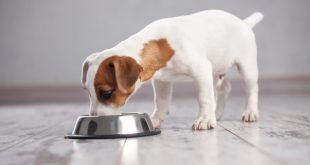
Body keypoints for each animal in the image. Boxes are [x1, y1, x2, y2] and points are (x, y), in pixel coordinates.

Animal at [81, 10, 262, 130]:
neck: (162, 45)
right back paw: (216, 113)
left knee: (251, 89)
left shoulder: (201, 71)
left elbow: (204, 98)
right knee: (225, 88)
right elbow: (161, 102)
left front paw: (204, 120)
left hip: (247, 68)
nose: (93, 119)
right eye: (88, 93)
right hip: (216, 73)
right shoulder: (162, 81)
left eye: (106, 94)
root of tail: (244, 23)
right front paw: (154, 120)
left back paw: (250, 112)